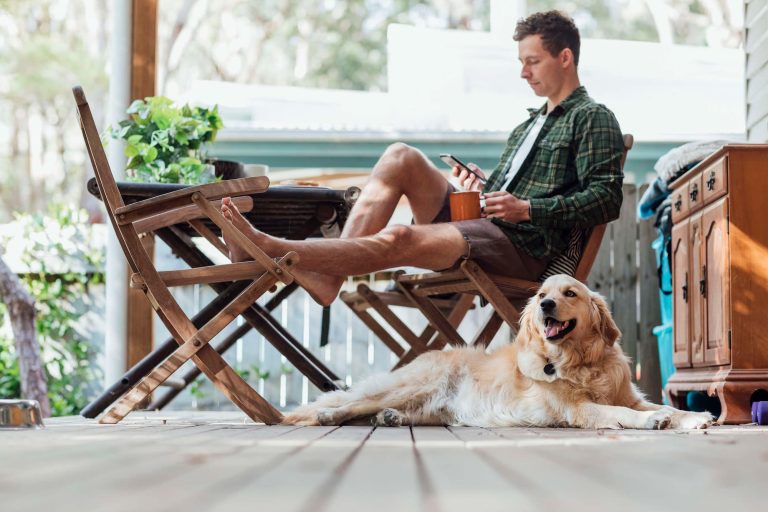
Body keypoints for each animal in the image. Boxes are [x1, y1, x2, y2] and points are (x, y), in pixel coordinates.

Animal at [284, 274, 712, 430]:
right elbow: (621, 414)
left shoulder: (629, 395)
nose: (545, 305)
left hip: (432, 403)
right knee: (355, 403)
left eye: (569, 293)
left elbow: (664, 405)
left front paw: (694, 417)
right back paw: (329, 414)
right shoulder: (579, 409)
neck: (580, 361)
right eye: (541, 295)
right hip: (416, 383)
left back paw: (390, 418)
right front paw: (653, 422)